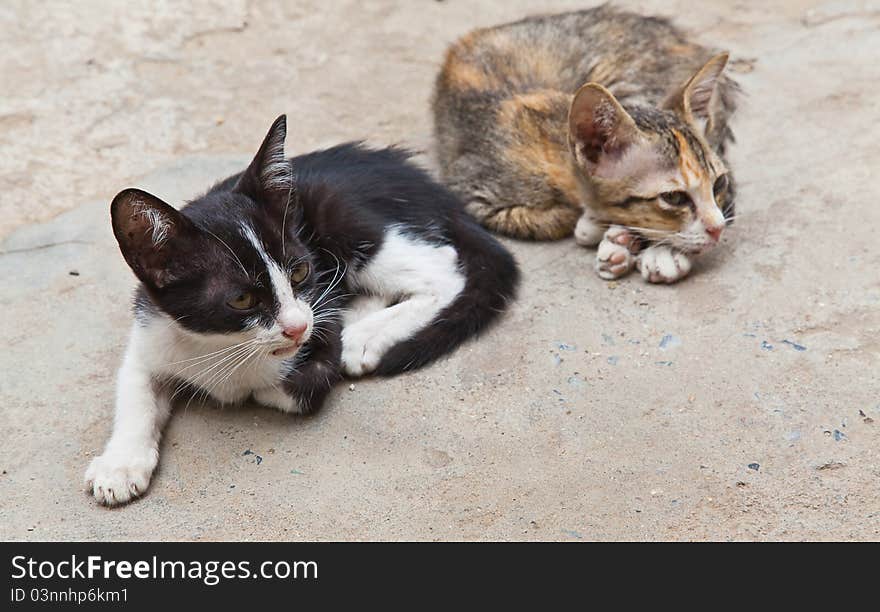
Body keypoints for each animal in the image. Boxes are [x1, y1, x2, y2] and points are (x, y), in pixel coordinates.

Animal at [84, 117, 516, 504]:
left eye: (300, 271)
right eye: (241, 300)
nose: (297, 328)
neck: (221, 346)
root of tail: (432, 186)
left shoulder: (316, 322)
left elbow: (294, 387)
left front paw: (273, 382)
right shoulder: (152, 329)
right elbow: (135, 390)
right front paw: (119, 465)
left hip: (339, 208)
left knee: (442, 269)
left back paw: (363, 334)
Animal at [436, 5, 740, 284]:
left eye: (718, 184)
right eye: (674, 198)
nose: (718, 230)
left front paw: (650, 246)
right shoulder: (473, 193)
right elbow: (557, 219)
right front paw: (598, 225)